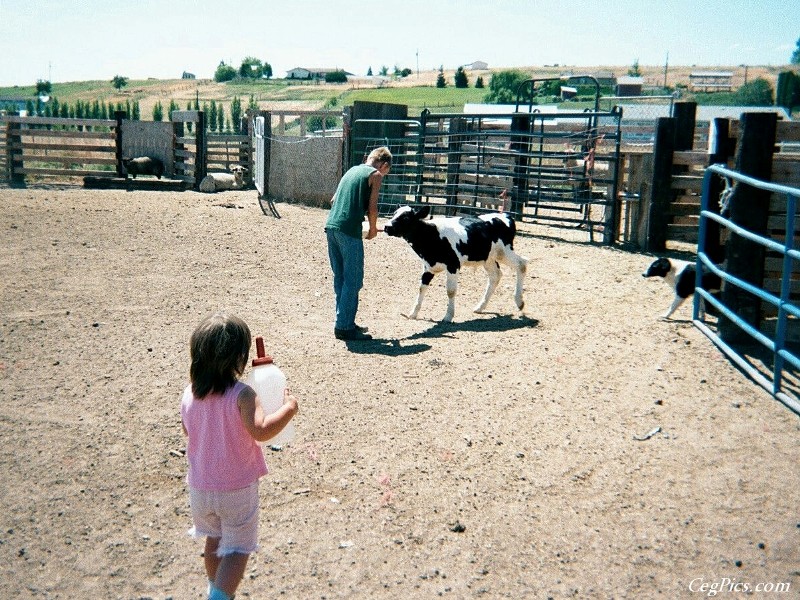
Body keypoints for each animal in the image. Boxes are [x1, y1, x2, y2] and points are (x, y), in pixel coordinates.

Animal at [382, 206, 528, 322]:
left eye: (406, 218)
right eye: (394, 214)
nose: (386, 226)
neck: (432, 236)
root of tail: (506, 216)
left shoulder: (453, 265)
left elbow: (451, 291)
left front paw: (448, 316)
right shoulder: (428, 267)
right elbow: (421, 288)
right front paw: (413, 313)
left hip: (504, 252)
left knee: (522, 264)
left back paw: (519, 301)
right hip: (489, 258)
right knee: (495, 276)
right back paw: (480, 307)